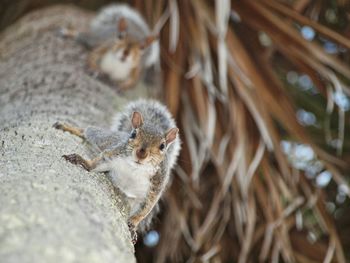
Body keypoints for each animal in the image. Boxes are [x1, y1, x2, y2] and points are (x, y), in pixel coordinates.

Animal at [54, 100, 182, 244]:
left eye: (162, 146)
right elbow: (96, 163)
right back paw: (66, 127)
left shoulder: (155, 187)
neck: (136, 168)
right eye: (133, 134)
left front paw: (132, 225)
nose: (141, 154)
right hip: (104, 138)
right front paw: (82, 161)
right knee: (88, 131)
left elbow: (144, 211)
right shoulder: (112, 155)